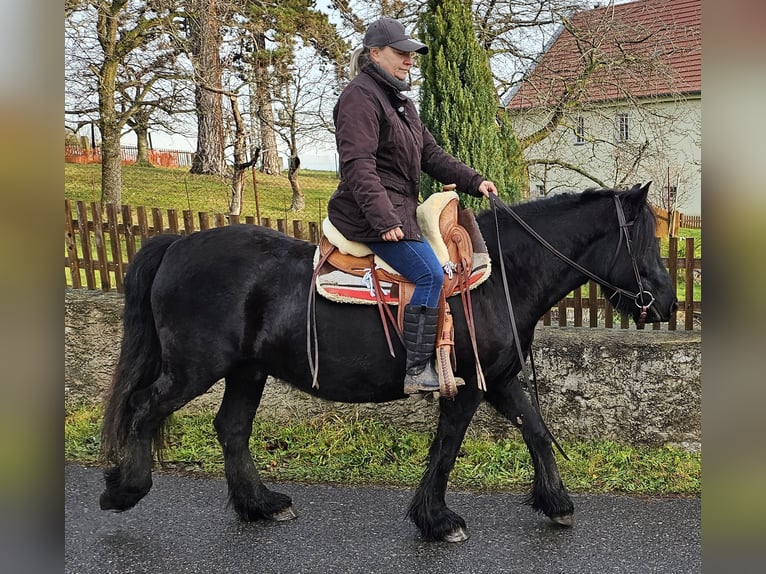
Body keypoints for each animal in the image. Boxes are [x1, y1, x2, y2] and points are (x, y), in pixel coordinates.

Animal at [97, 183, 680, 544]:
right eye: (645, 241)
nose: (668, 303)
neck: (501, 274)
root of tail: (178, 244)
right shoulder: (468, 386)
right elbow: (447, 449)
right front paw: (437, 520)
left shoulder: (499, 379)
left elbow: (535, 430)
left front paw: (555, 502)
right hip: (194, 369)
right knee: (145, 409)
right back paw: (126, 489)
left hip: (247, 370)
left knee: (231, 428)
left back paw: (259, 504)